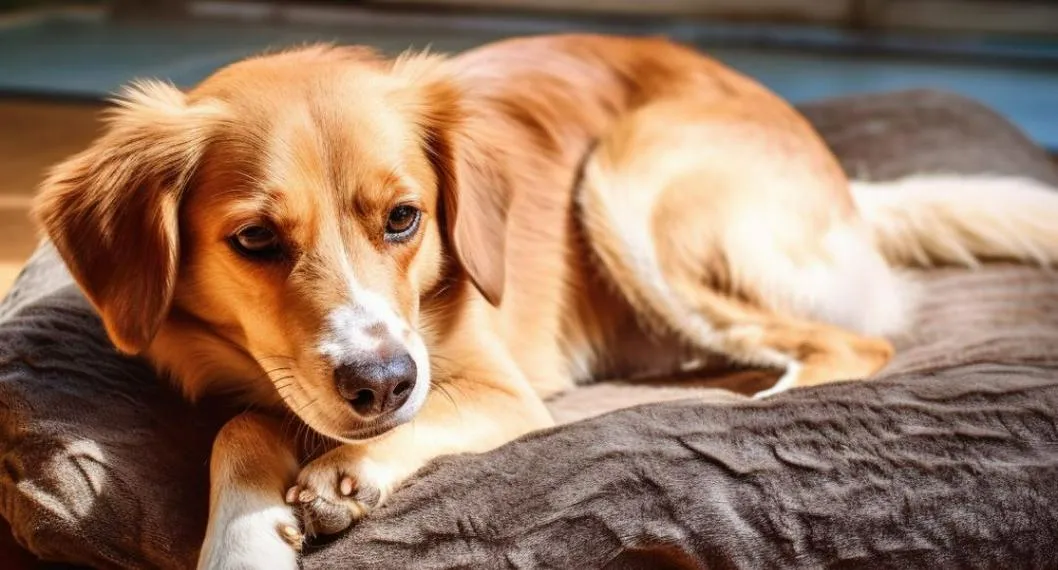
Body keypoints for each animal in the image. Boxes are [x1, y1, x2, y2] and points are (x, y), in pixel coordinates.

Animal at [30, 33, 1058, 566]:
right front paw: (244, 536)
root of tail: (844, 183)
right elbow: (242, 425)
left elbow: (406, 422)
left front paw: (347, 475)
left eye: (403, 219)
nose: (382, 383)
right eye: (254, 241)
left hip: (629, 177)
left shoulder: (496, 389)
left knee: (852, 347)